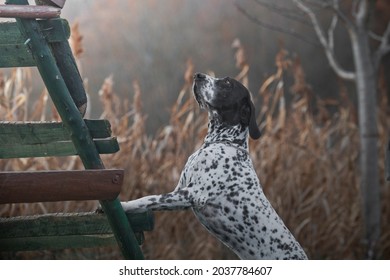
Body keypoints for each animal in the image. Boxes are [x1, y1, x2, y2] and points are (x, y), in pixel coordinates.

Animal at [122, 72, 308, 260]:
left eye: (227, 83)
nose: (198, 75)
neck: (222, 142)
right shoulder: (180, 191)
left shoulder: (192, 194)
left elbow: (148, 199)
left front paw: (124, 205)